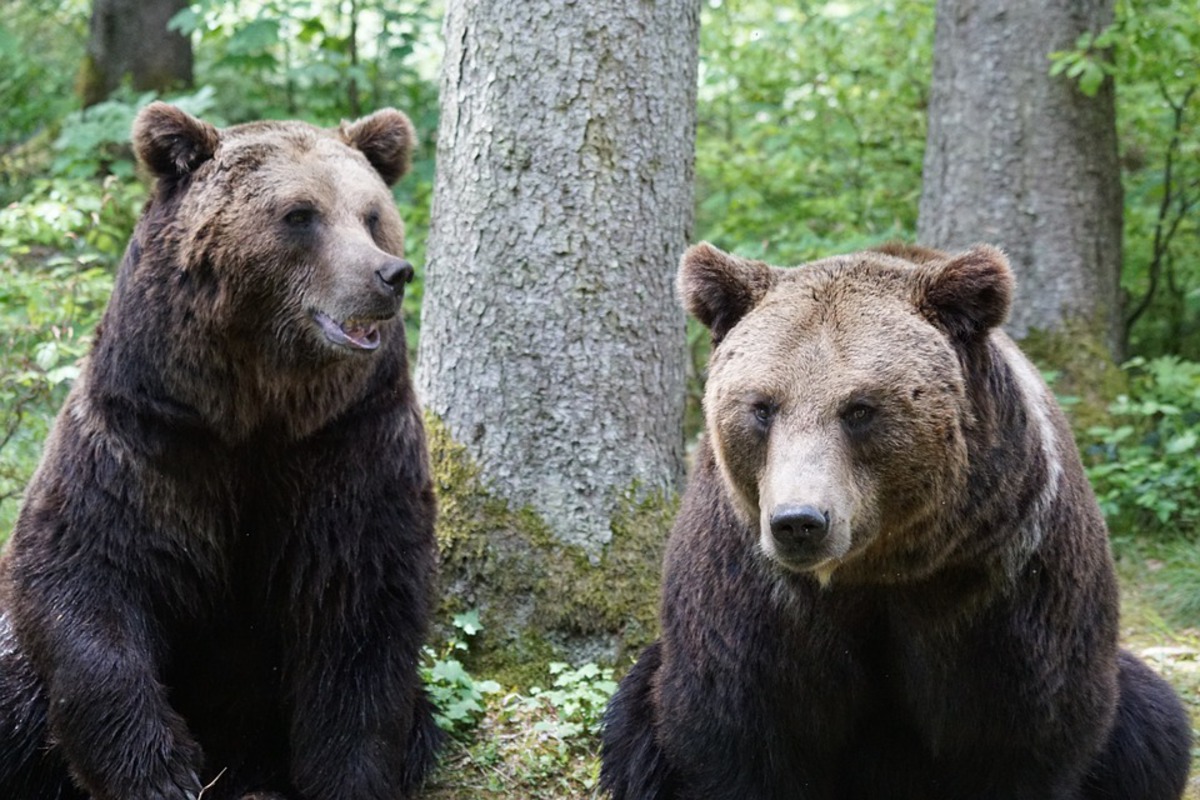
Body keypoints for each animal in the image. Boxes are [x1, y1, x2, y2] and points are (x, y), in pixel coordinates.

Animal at [0, 104, 441, 800]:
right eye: (300, 214)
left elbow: (361, 610)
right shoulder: (145, 442)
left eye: (372, 214)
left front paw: (349, 775)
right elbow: (84, 576)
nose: (389, 274)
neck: (253, 410)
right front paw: (164, 773)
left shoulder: (351, 447)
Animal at [600, 244, 1190, 800]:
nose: (799, 522)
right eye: (763, 406)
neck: (880, 567)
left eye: (859, 408)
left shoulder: (1005, 571)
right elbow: (739, 726)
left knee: (1153, 722)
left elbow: (1024, 729)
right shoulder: (752, 581)